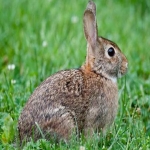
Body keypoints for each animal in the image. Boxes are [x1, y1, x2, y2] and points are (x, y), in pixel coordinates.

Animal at [17, 0, 127, 143]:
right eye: (111, 51)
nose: (126, 65)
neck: (98, 73)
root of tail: (23, 137)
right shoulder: (93, 116)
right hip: (65, 120)